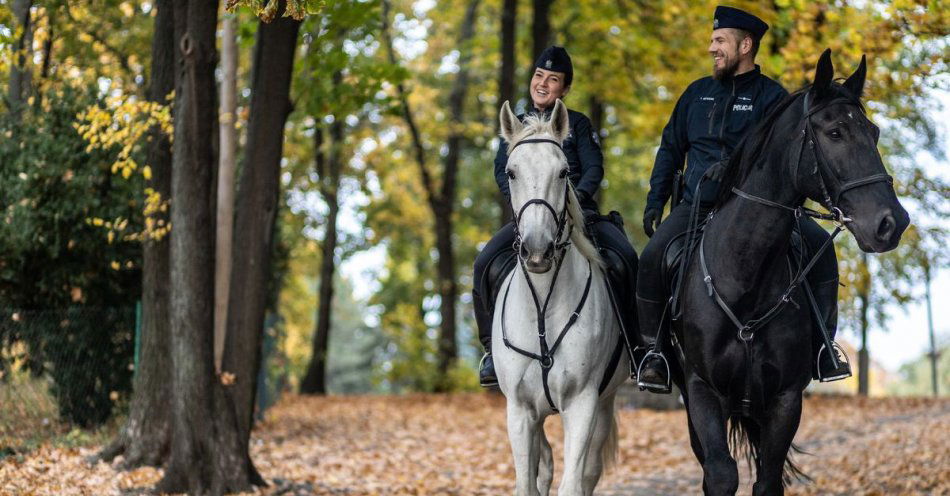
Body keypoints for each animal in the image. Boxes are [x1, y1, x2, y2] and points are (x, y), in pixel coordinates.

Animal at [494, 99, 628, 494]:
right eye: (511, 173)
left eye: (563, 172)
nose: (538, 251)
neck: (542, 306)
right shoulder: (519, 410)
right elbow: (527, 481)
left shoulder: (583, 404)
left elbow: (573, 483)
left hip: (604, 403)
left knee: (588, 470)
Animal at [668, 48, 916, 494]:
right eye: (835, 132)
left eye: (874, 133)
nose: (892, 223)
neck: (745, 281)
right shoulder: (702, 392)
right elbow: (720, 473)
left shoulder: (785, 399)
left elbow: (768, 479)